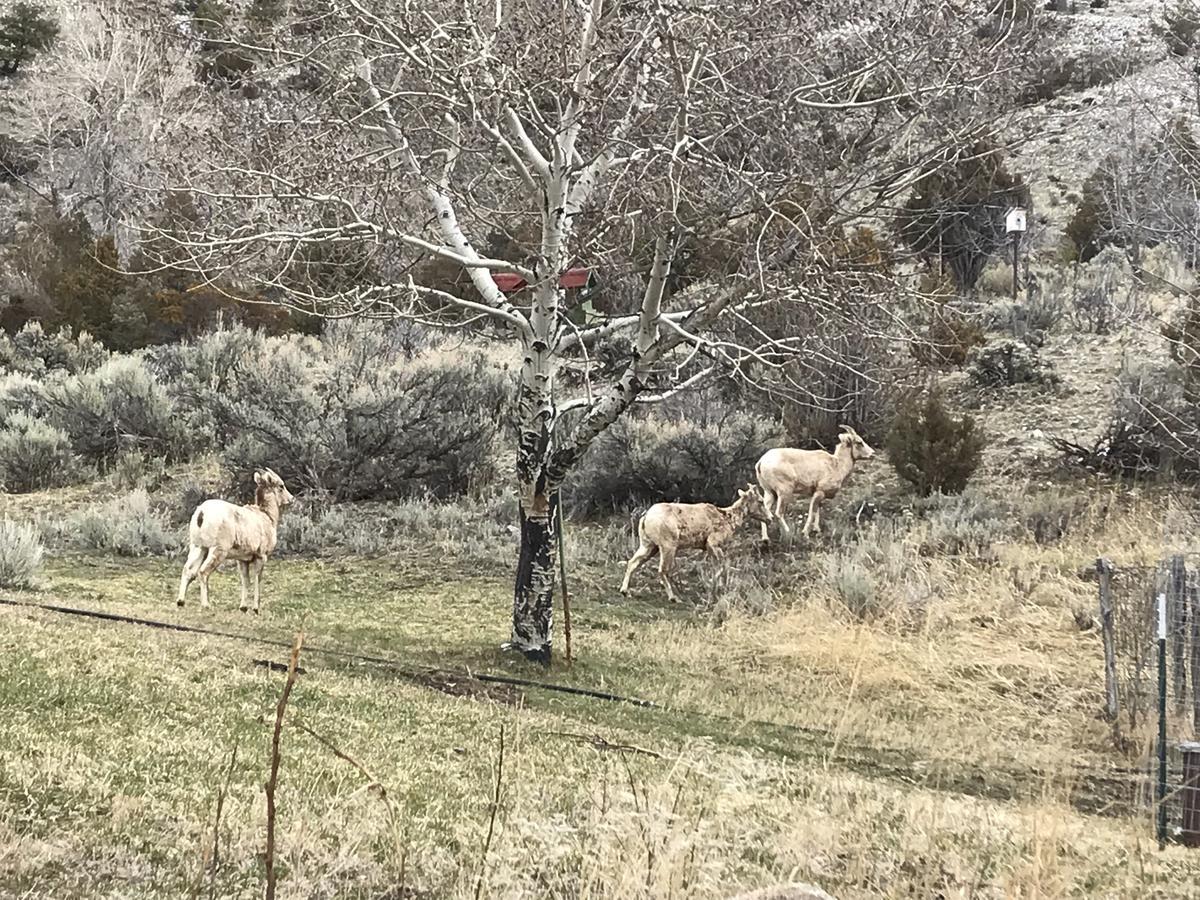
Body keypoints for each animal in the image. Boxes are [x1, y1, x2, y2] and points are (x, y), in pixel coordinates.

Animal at [175, 472, 292, 614]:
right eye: (281, 486)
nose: (291, 499)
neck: (267, 516)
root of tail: (201, 514)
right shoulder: (261, 557)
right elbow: (257, 580)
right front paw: (256, 609)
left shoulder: (242, 560)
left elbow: (245, 581)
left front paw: (243, 608)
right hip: (217, 551)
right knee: (202, 572)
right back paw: (206, 605)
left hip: (199, 548)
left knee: (188, 570)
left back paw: (181, 602)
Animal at [619, 487, 768, 607]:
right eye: (760, 501)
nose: (770, 518)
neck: (728, 518)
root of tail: (646, 517)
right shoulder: (713, 544)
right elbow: (722, 566)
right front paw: (712, 585)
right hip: (668, 547)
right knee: (662, 570)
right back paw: (674, 598)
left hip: (649, 546)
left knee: (632, 563)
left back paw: (625, 591)